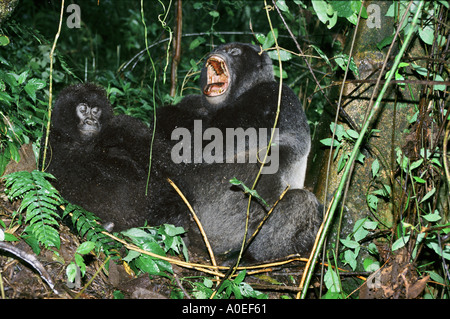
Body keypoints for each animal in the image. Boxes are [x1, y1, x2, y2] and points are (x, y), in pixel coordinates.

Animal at [153, 43, 322, 262]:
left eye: (235, 52)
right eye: (218, 48)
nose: (215, 53)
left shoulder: (273, 96)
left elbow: (204, 142)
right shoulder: (194, 101)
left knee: (302, 201)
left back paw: (250, 258)